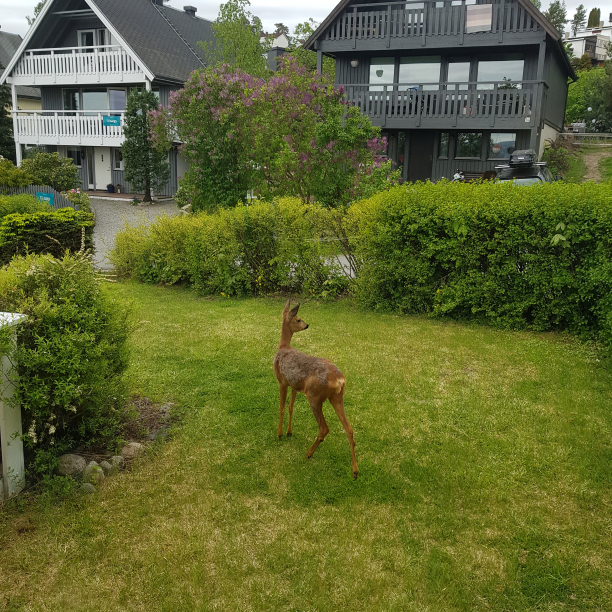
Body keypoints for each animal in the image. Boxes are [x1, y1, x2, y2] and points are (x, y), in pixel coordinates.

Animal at [274, 300, 358, 478]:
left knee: (324, 428)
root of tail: (340, 380)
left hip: (314, 396)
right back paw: (355, 471)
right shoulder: (294, 385)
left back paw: (308, 454)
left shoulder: (282, 381)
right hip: (337, 397)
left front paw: (279, 434)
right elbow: (291, 407)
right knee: (349, 429)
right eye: (298, 319)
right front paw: (289, 432)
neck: (283, 348)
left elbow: (282, 407)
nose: (306, 325)